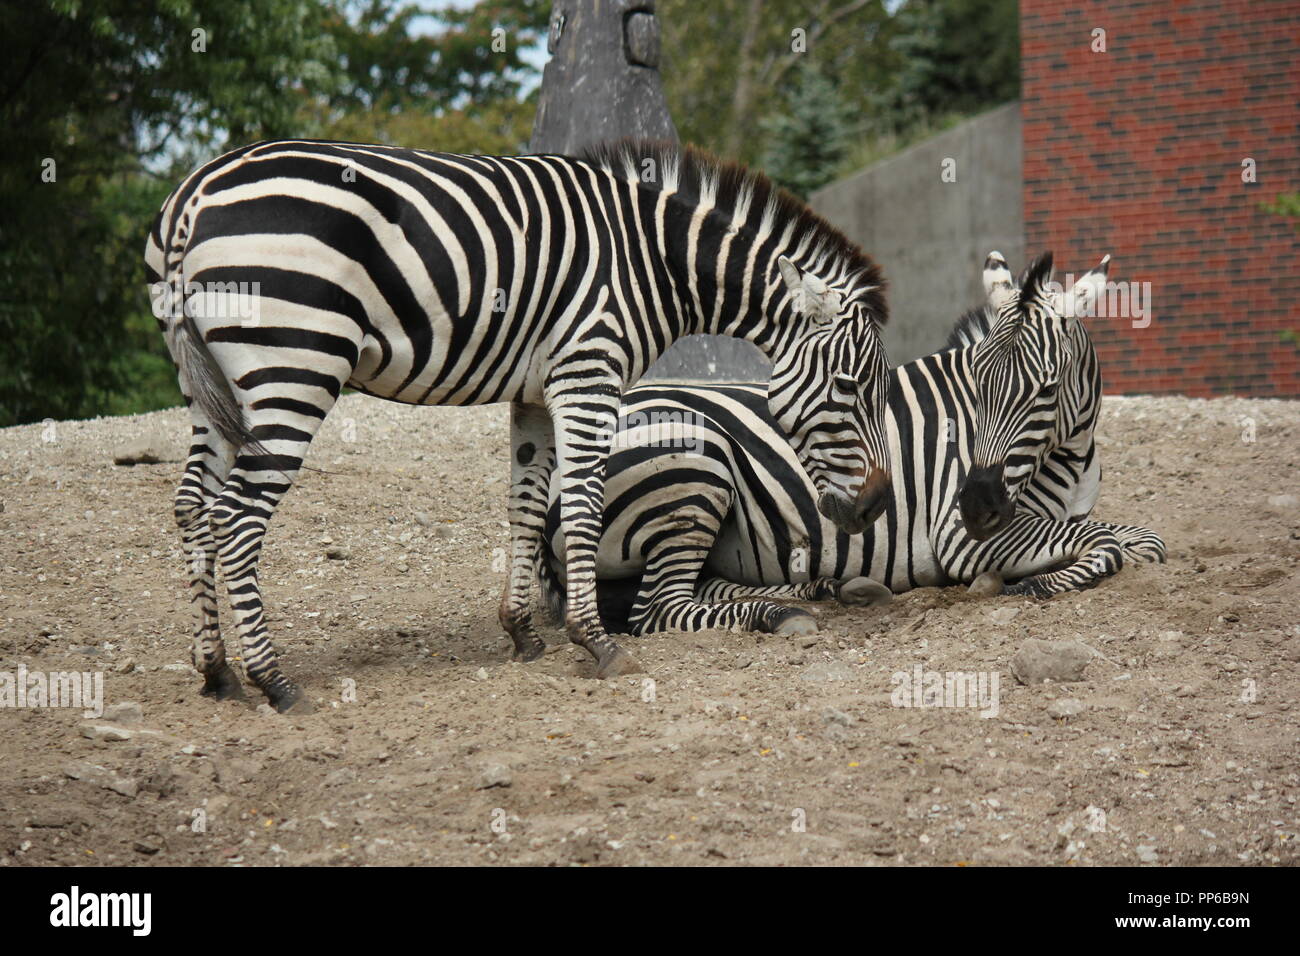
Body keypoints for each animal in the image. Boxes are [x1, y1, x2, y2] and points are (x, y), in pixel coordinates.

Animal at [144, 138, 894, 712]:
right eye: (852, 388)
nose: (877, 506)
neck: (655, 262)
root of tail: (194, 194)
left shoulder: (535, 391)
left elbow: (527, 504)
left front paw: (522, 634)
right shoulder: (588, 370)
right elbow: (583, 501)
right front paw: (594, 640)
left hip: (212, 388)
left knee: (192, 506)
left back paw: (214, 669)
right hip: (293, 365)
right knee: (237, 517)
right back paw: (273, 681)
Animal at [538, 252, 1170, 634]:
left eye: (1045, 389)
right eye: (976, 382)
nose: (975, 505)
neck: (1071, 452)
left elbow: (1136, 539)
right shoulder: (957, 538)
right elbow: (1119, 542)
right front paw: (1031, 582)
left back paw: (820, 588)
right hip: (696, 464)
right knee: (656, 609)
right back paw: (776, 614)